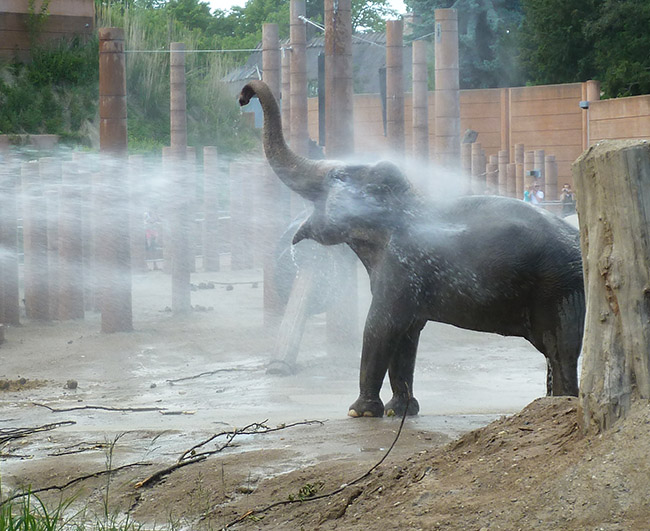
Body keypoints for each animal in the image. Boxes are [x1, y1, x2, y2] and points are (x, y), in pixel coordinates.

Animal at [238, 80, 584, 420]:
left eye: (337, 176)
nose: (243, 96)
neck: (404, 201)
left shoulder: (401, 267)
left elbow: (380, 326)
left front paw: (359, 412)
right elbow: (406, 335)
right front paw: (399, 410)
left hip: (558, 288)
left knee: (561, 349)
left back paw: (561, 401)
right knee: (552, 352)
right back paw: (545, 401)